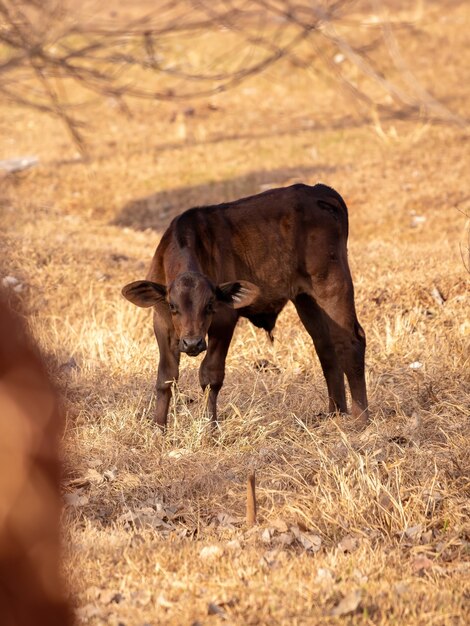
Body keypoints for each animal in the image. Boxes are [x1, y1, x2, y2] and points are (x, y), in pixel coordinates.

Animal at [123, 182, 370, 428]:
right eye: (173, 306)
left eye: (210, 305)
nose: (192, 343)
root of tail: (319, 190)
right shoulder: (162, 323)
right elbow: (166, 376)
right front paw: (159, 427)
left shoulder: (224, 320)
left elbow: (210, 374)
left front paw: (210, 426)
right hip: (306, 298)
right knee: (325, 346)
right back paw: (335, 413)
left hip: (332, 284)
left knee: (350, 341)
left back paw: (360, 419)